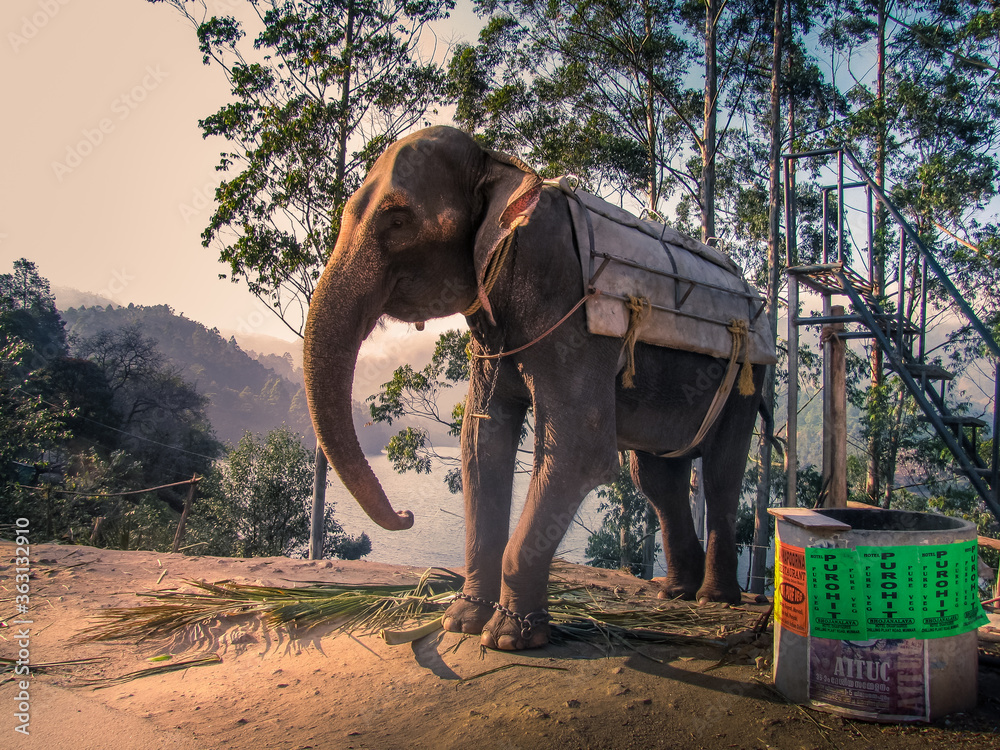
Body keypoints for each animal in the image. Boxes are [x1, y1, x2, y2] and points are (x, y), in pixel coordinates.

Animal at [303, 125, 769, 651]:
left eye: (398, 220)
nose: (406, 515)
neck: (503, 167)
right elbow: (481, 442)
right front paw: (461, 621)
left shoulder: (571, 315)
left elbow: (579, 450)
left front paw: (508, 637)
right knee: (655, 476)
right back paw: (674, 594)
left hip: (749, 376)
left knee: (722, 472)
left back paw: (714, 599)